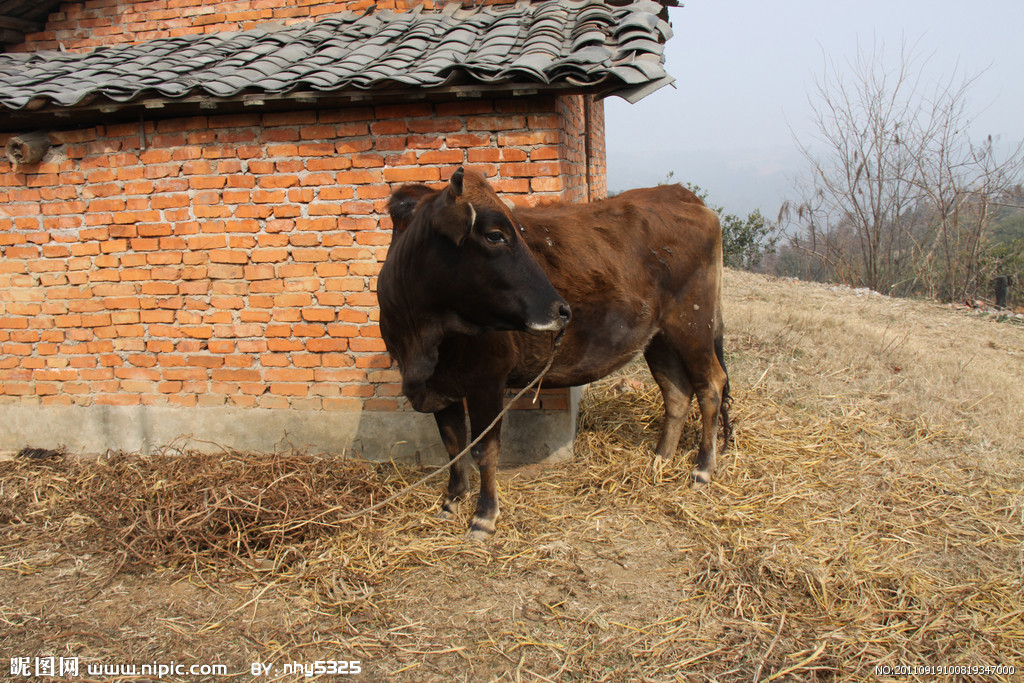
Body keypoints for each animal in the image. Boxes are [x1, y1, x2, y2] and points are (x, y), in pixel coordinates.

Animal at [382, 166, 729, 540]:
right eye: (495, 235)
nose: (562, 311)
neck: (423, 343)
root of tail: (680, 195)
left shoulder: (486, 380)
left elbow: (484, 450)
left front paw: (484, 516)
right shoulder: (439, 387)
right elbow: (452, 445)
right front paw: (452, 501)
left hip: (692, 325)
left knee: (711, 387)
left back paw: (702, 469)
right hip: (660, 337)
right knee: (677, 393)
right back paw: (660, 459)